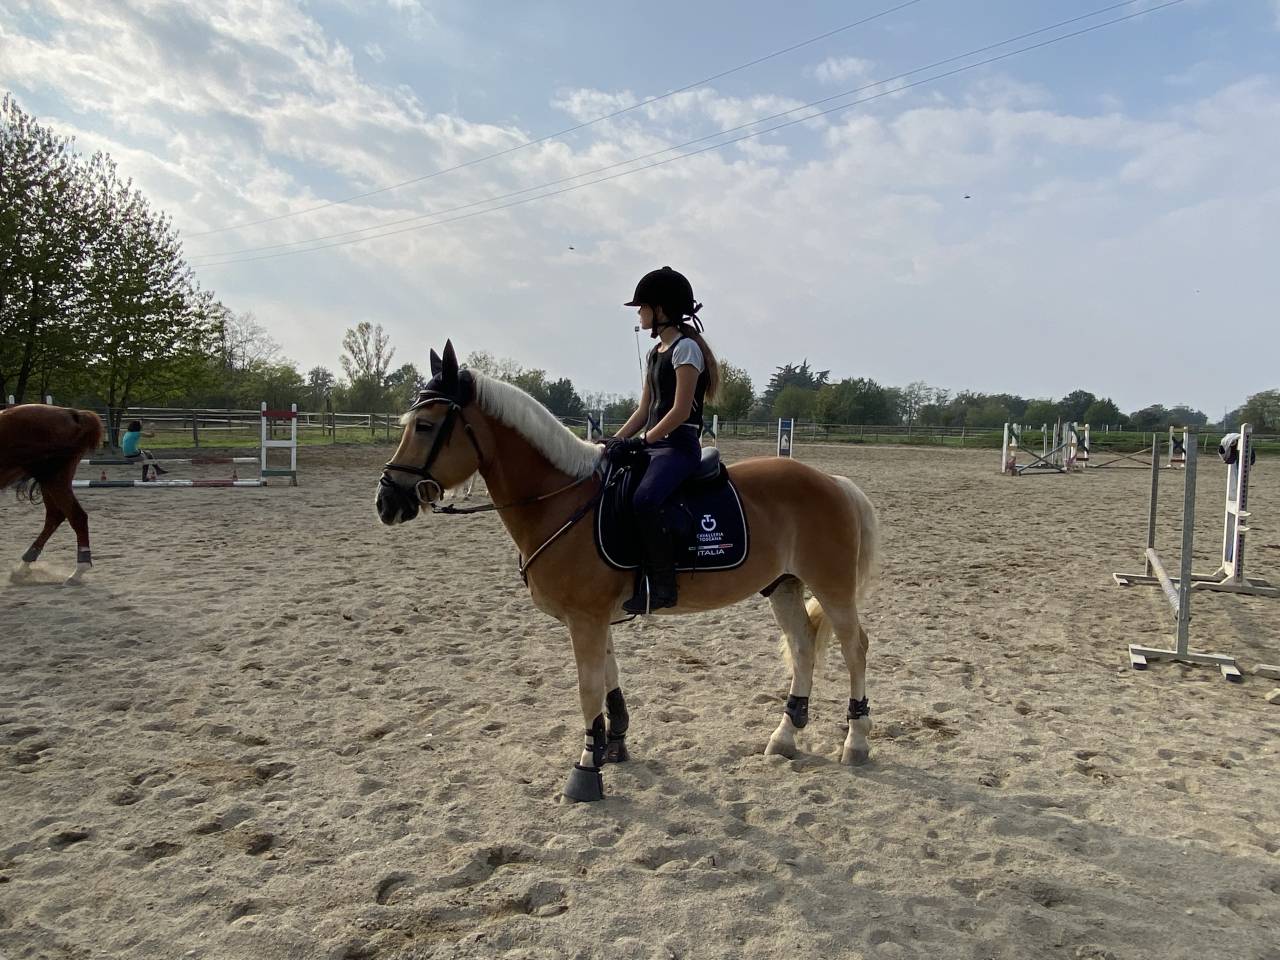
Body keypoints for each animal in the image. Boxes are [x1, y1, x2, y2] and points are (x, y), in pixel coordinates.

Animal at [1, 403, 104, 584]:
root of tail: (73, 414)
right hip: (49, 480)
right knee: (55, 516)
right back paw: (23, 566)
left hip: (53, 478)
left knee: (76, 516)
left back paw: (78, 570)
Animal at [375, 342, 880, 802]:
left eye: (424, 425)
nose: (386, 501)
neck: (560, 499)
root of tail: (834, 483)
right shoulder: (595, 616)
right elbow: (608, 679)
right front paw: (611, 745)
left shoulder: (585, 619)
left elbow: (587, 688)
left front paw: (585, 770)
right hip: (783, 586)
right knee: (803, 645)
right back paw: (785, 736)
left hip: (832, 587)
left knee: (855, 649)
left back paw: (855, 742)